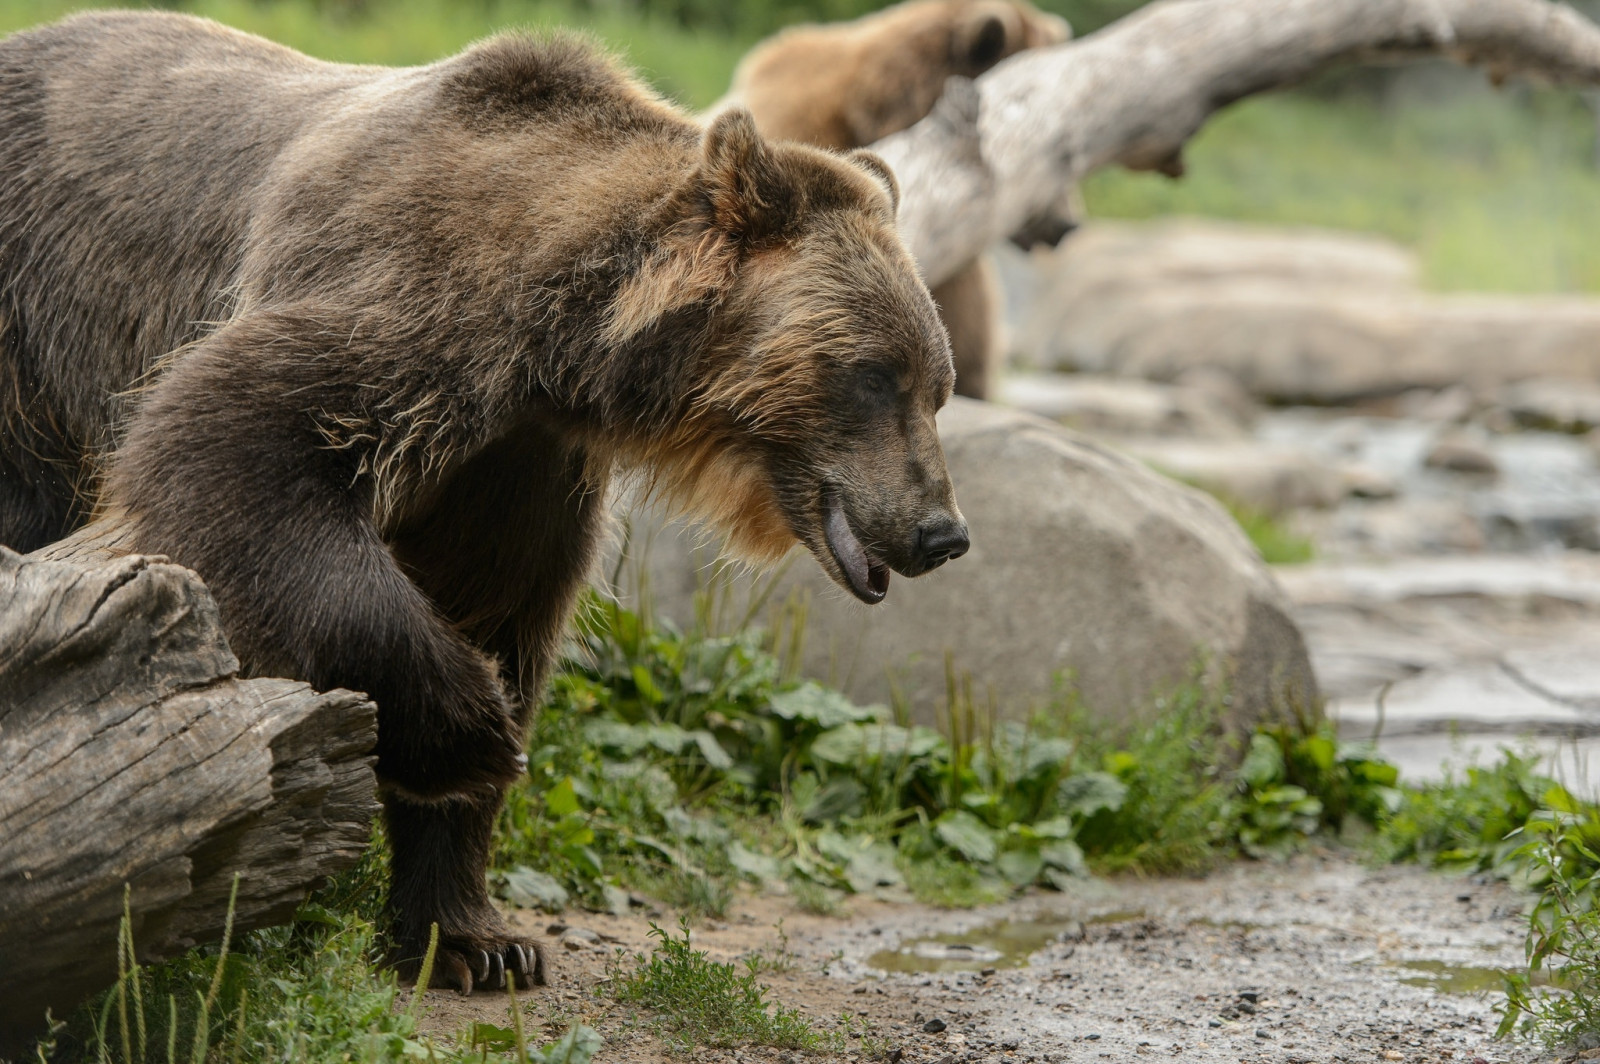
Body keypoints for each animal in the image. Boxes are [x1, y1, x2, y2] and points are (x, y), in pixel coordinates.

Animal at [0, 11, 969, 994]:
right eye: (875, 375)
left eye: (938, 386)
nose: (942, 531)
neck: (560, 346)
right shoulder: (406, 305)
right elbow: (229, 440)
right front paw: (475, 733)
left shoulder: (512, 468)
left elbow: (500, 609)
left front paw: (473, 937)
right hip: (29, 329)